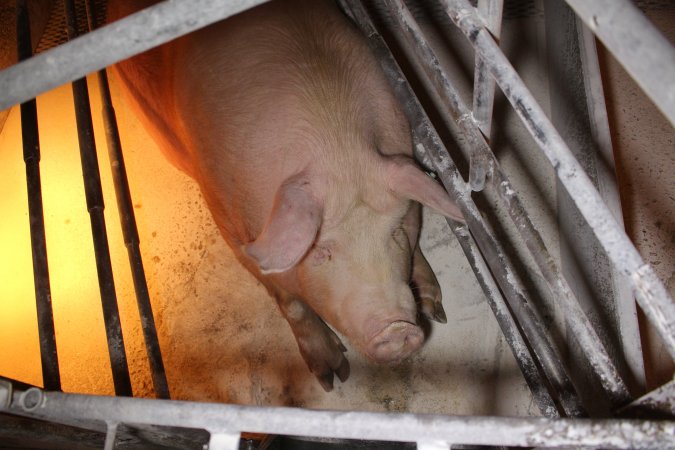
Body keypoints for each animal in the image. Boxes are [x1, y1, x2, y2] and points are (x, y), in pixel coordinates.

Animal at [107, 0, 464, 390]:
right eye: (320, 250)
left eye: (395, 232)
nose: (397, 332)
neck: (337, 149)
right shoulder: (225, 216)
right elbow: (288, 300)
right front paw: (333, 378)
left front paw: (435, 311)